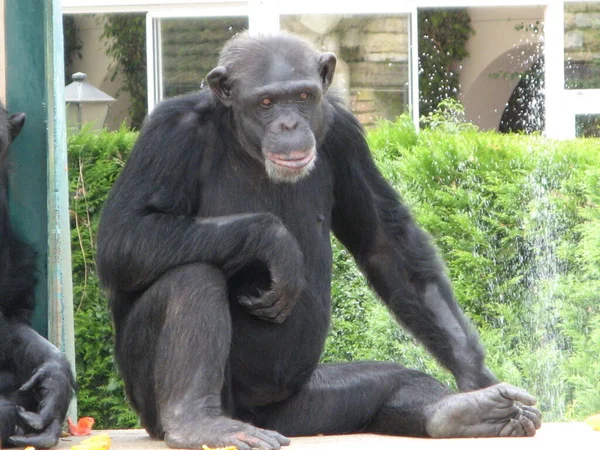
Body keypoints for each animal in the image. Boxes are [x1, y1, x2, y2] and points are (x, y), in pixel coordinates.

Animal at [96, 32, 540, 450]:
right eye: (266, 102)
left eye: (304, 97)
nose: (289, 125)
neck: (241, 139)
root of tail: (256, 416)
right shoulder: (168, 133)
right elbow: (123, 236)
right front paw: (274, 241)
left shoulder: (346, 135)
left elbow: (384, 242)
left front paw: (476, 376)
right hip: (155, 404)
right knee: (191, 275)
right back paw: (199, 423)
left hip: (303, 408)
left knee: (392, 380)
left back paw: (470, 411)